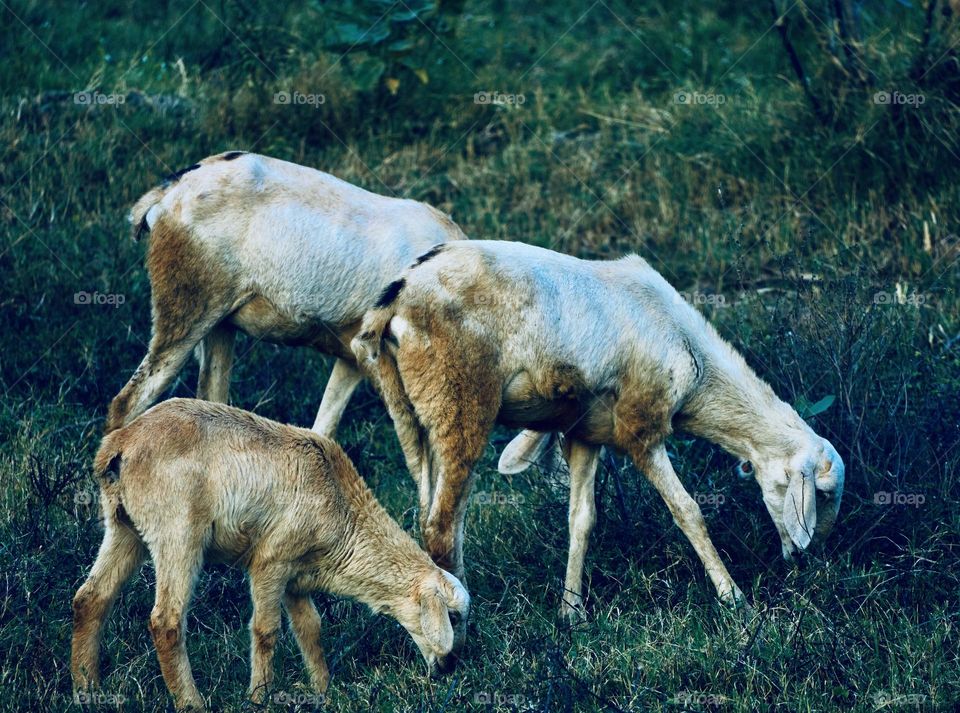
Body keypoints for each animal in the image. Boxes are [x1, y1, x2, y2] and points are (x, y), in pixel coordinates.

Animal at [71, 398, 469, 711]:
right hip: (177, 533)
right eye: (452, 616)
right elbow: (266, 630)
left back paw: (87, 689)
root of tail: (121, 441)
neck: (345, 512)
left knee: (90, 599)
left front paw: (323, 690)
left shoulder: (297, 576)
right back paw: (191, 702)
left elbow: (310, 629)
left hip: (124, 528)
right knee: (166, 622)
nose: (451, 667)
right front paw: (259, 697)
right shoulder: (270, 561)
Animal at [352, 240, 845, 658]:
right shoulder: (640, 427)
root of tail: (396, 297)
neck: (697, 368)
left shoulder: (586, 434)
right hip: (460, 401)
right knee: (442, 526)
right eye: (821, 494)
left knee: (426, 515)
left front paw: (571, 613)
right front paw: (734, 600)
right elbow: (688, 512)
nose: (805, 561)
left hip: (410, 411)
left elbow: (582, 521)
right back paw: (465, 634)